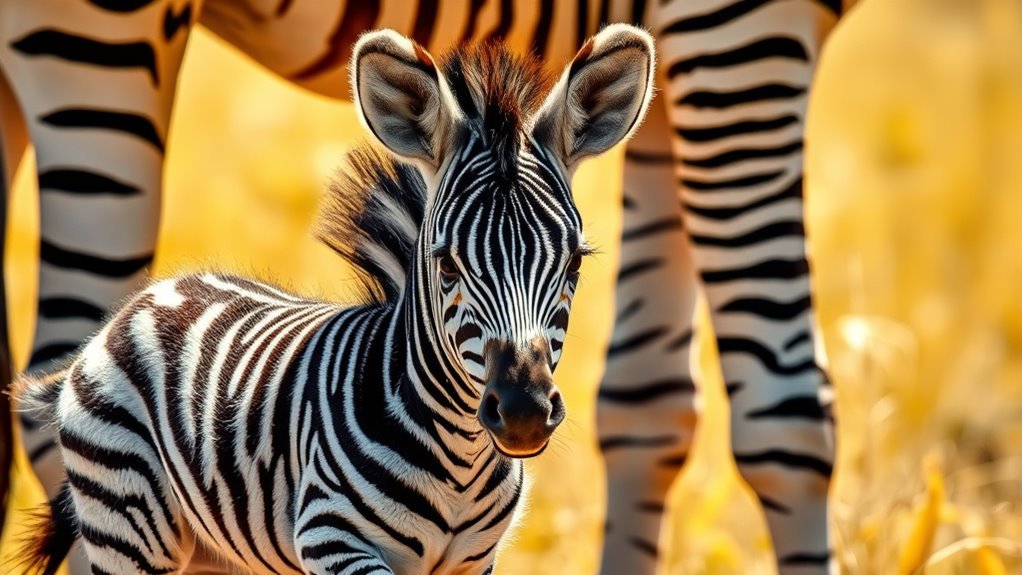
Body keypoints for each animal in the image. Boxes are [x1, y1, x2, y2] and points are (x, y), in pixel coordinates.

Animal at [0, 1, 843, 573]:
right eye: (444, 264)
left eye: (574, 263)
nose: (523, 412)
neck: (459, 460)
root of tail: (140, 308)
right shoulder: (737, 32)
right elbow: (787, 419)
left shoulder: (473, 559)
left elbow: (650, 405)